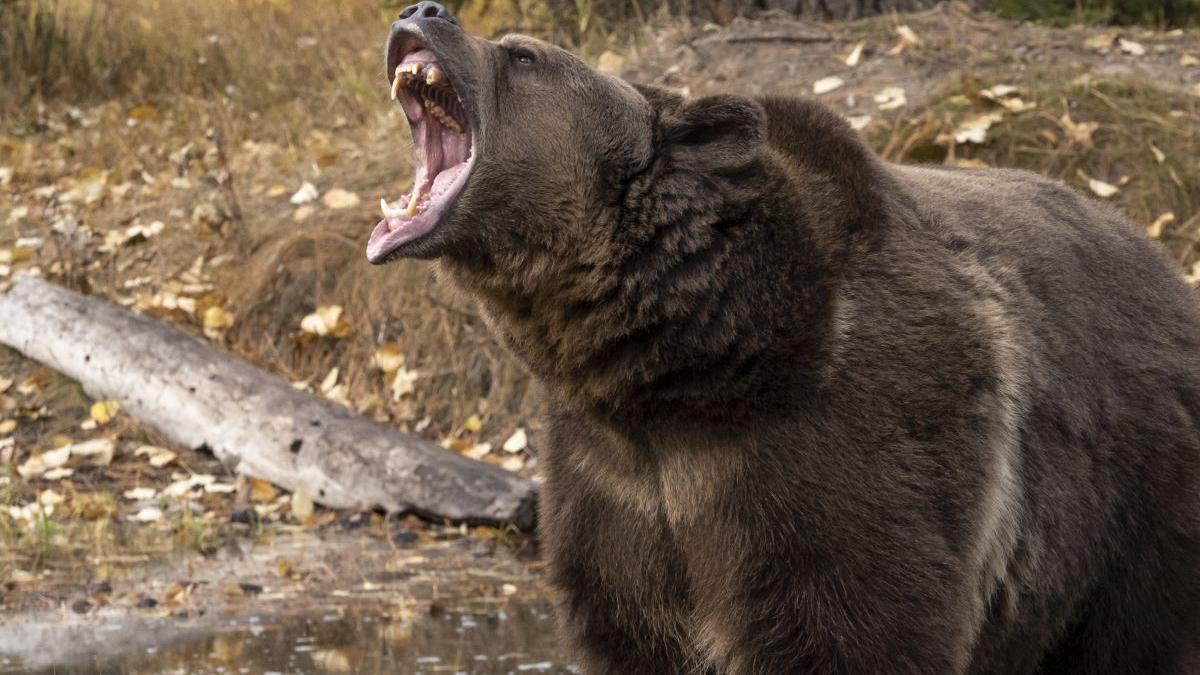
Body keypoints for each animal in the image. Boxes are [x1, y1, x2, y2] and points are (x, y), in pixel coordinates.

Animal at [364, 3, 1200, 667]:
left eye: (524, 54)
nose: (423, 8)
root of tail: (1169, 271)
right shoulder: (617, 493)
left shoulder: (841, 461)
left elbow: (859, 622)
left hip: (1134, 509)